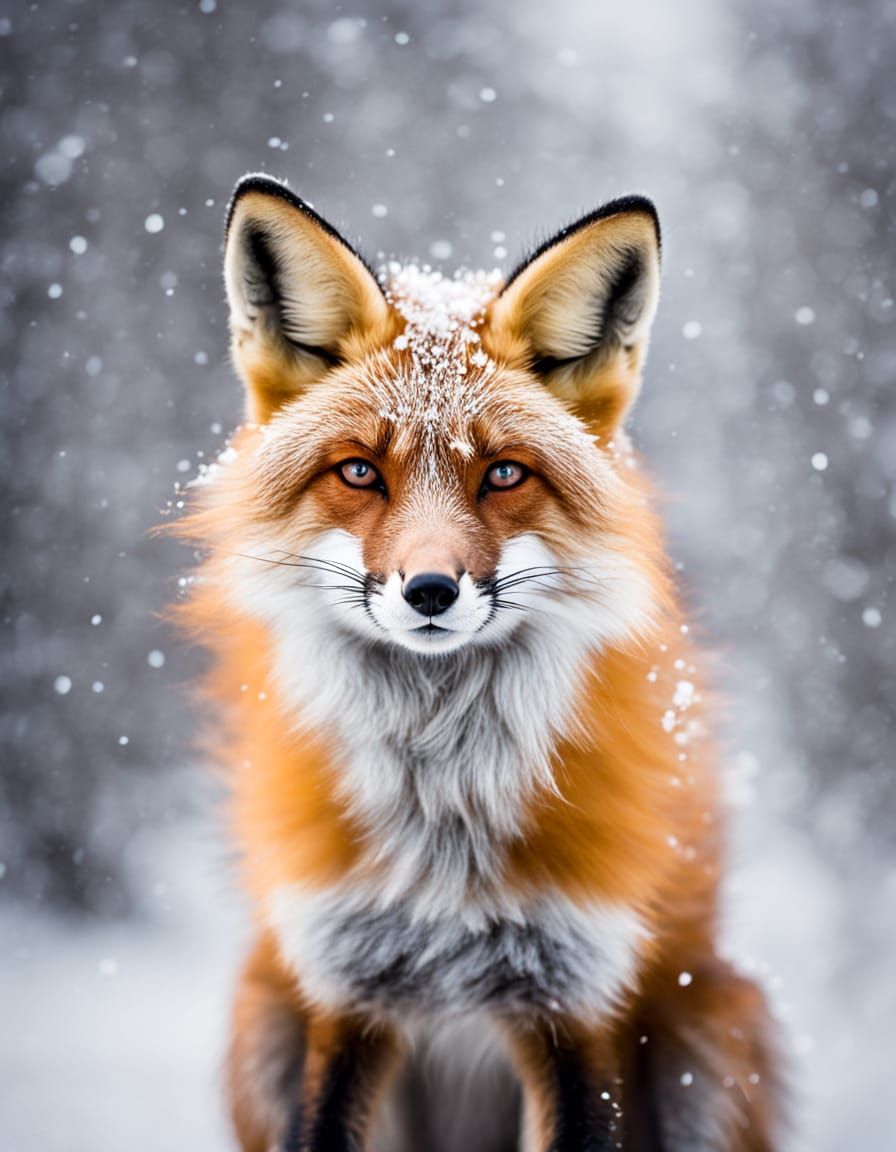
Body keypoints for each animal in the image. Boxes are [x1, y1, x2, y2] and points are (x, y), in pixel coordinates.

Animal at [173, 173, 785, 1152]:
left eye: (502, 474)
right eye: (359, 472)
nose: (429, 590)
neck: (441, 820)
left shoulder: (574, 1000)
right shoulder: (347, 990)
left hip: (711, 1047)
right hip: (262, 1029)